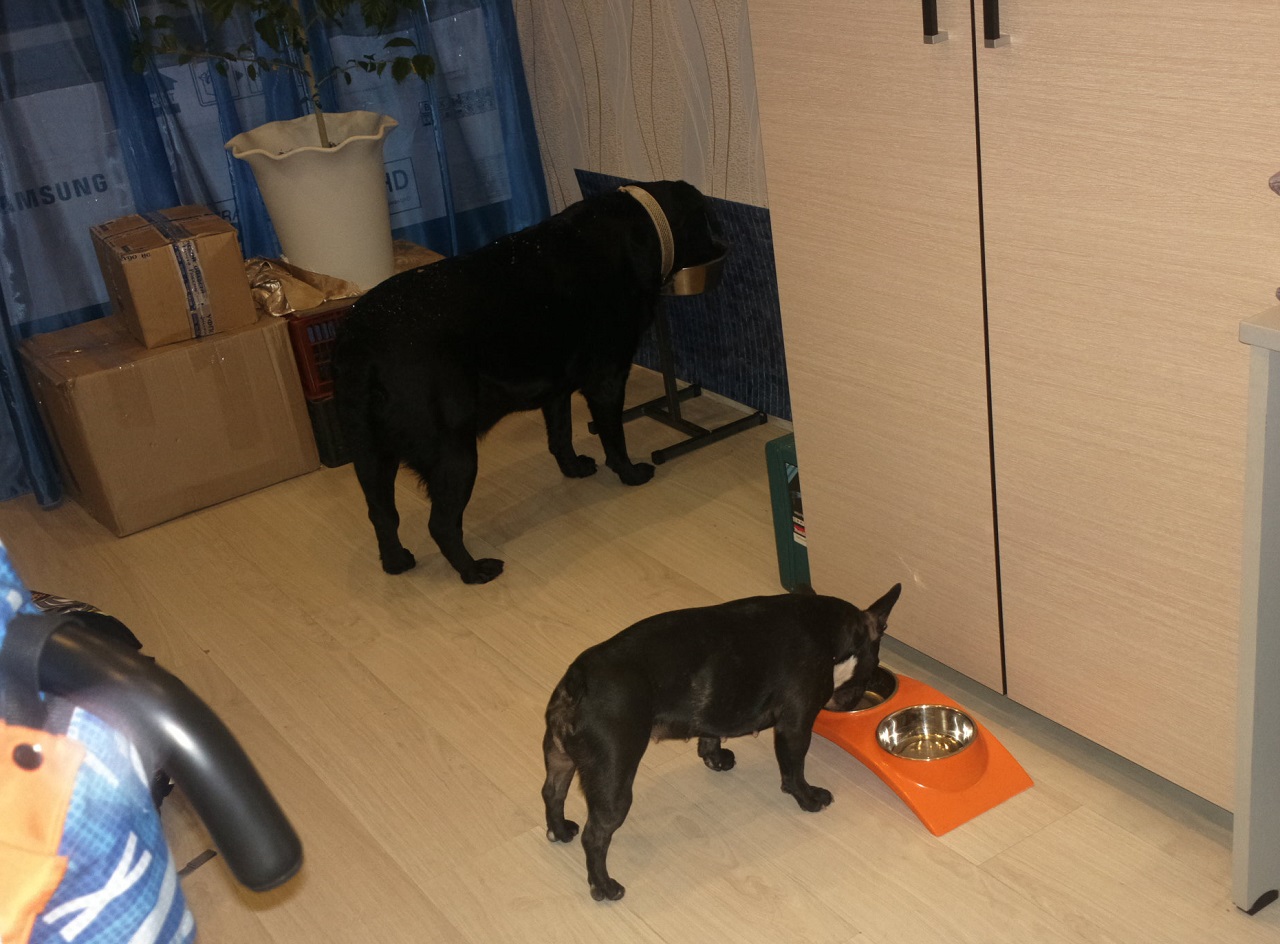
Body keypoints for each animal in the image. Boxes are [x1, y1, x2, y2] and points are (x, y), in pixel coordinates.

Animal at [333, 181, 723, 583]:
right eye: (709, 220)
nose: (723, 247)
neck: (643, 223)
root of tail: (362, 347)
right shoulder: (608, 379)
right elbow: (614, 439)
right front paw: (631, 474)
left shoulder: (557, 389)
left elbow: (561, 437)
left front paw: (574, 469)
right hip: (455, 453)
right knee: (440, 524)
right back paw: (475, 571)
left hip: (370, 457)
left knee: (382, 515)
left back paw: (397, 563)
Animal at [541, 584, 902, 900]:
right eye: (873, 669)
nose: (853, 699)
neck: (827, 629)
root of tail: (578, 678)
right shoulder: (795, 725)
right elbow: (794, 769)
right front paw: (809, 798)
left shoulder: (715, 705)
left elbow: (710, 734)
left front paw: (715, 758)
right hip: (614, 774)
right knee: (596, 834)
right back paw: (604, 886)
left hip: (558, 756)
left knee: (552, 792)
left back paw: (559, 831)